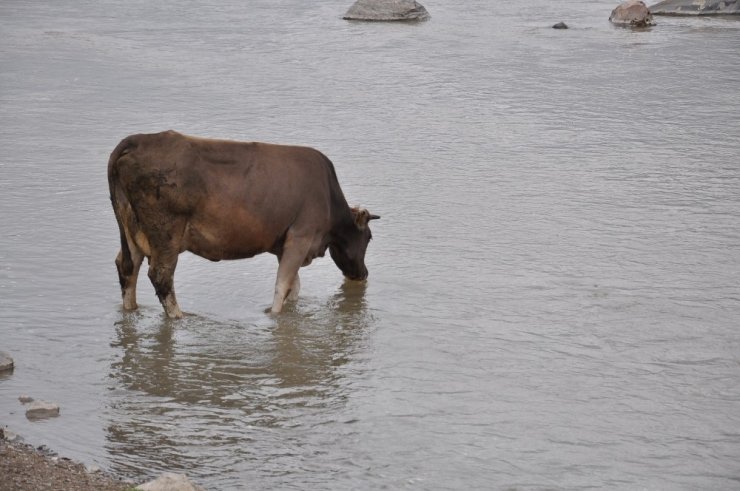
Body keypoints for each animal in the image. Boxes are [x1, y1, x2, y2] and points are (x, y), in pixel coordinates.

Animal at [107, 129, 378, 318]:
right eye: (369, 237)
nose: (364, 273)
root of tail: (139, 140)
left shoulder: (284, 244)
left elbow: (293, 286)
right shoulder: (301, 236)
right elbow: (282, 286)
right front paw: (275, 316)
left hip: (133, 229)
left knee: (127, 266)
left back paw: (131, 309)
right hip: (166, 235)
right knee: (161, 276)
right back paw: (178, 317)